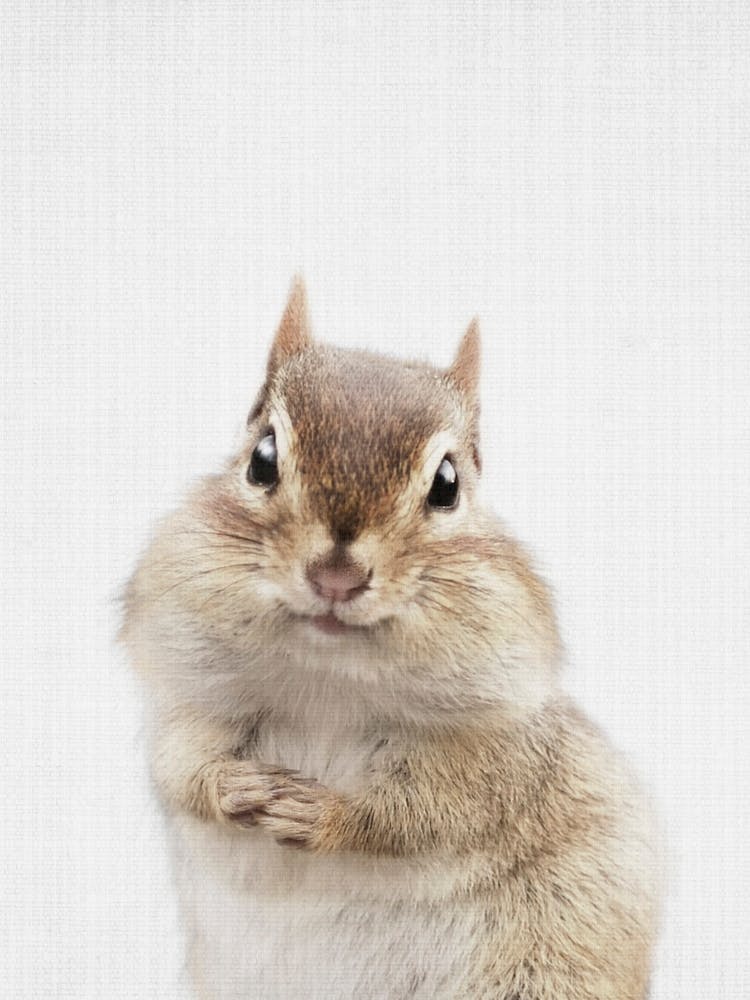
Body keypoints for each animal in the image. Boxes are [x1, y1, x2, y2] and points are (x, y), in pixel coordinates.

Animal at [120, 278, 660, 1000]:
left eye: (448, 485)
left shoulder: (496, 754)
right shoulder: (190, 702)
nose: (337, 576)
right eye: (261, 459)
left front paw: (325, 817)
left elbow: (428, 815)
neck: (327, 683)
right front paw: (232, 789)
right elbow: (179, 769)